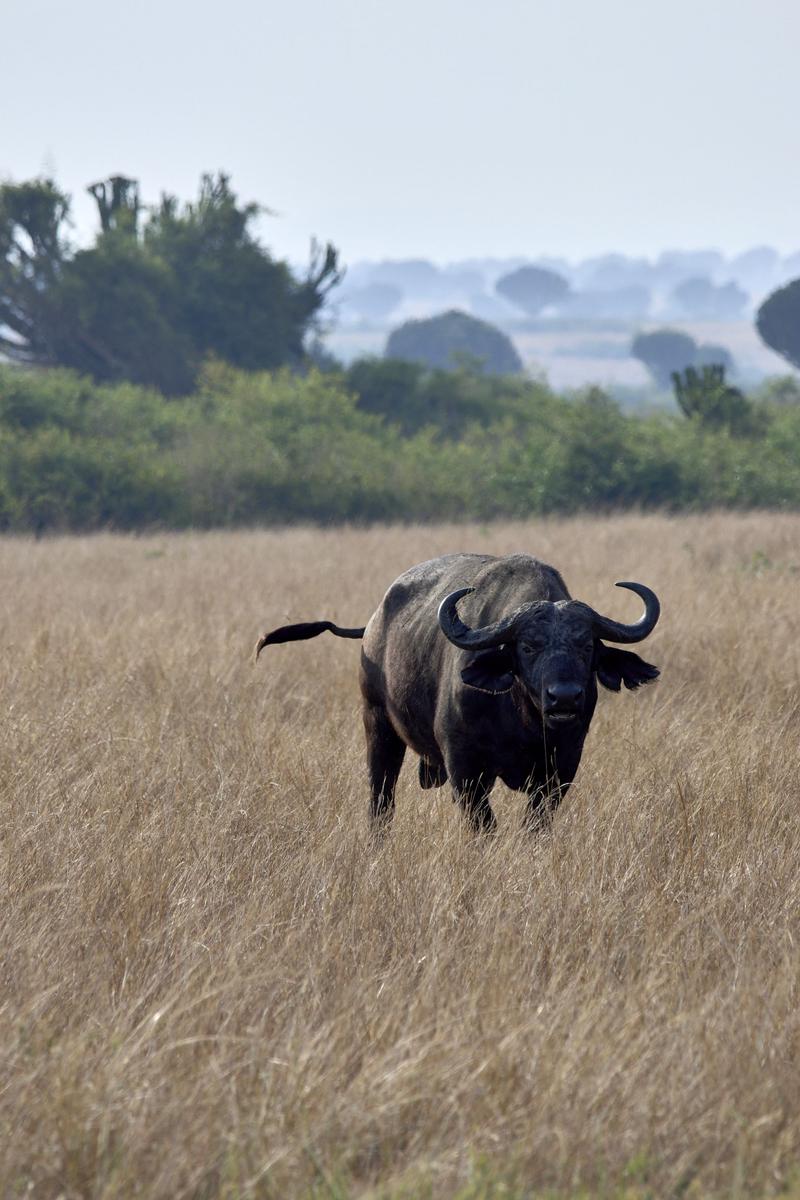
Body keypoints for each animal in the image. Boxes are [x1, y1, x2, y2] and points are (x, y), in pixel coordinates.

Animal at [255, 549, 657, 825]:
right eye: (528, 646)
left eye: (586, 646)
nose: (565, 697)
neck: (523, 719)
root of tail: (372, 624)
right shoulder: (465, 769)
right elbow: (484, 825)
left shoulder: (561, 770)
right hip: (377, 724)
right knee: (380, 800)